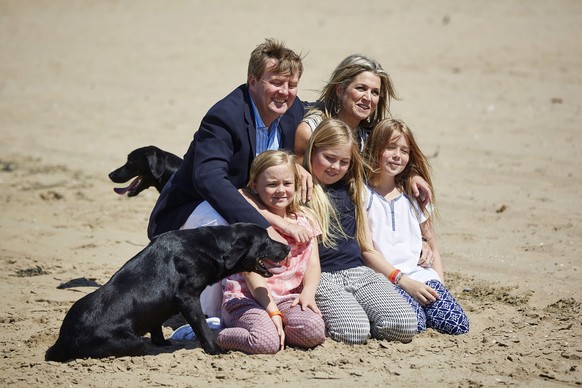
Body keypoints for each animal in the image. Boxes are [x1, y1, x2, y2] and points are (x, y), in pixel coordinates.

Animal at [45, 223, 290, 362]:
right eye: (266, 240)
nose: (288, 247)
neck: (212, 246)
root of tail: (63, 340)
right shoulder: (188, 298)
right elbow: (202, 327)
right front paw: (215, 349)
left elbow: (156, 322)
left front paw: (161, 342)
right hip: (132, 341)